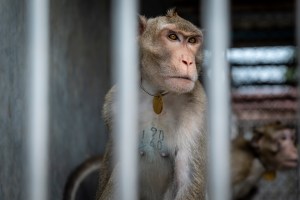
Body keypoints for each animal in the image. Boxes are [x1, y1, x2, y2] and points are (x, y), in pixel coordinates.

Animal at [96, 9, 206, 200]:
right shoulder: (114, 104)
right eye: (172, 36)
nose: (188, 61)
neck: (158, 93)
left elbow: (188, 181)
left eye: (192, 41)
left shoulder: (197, 109)